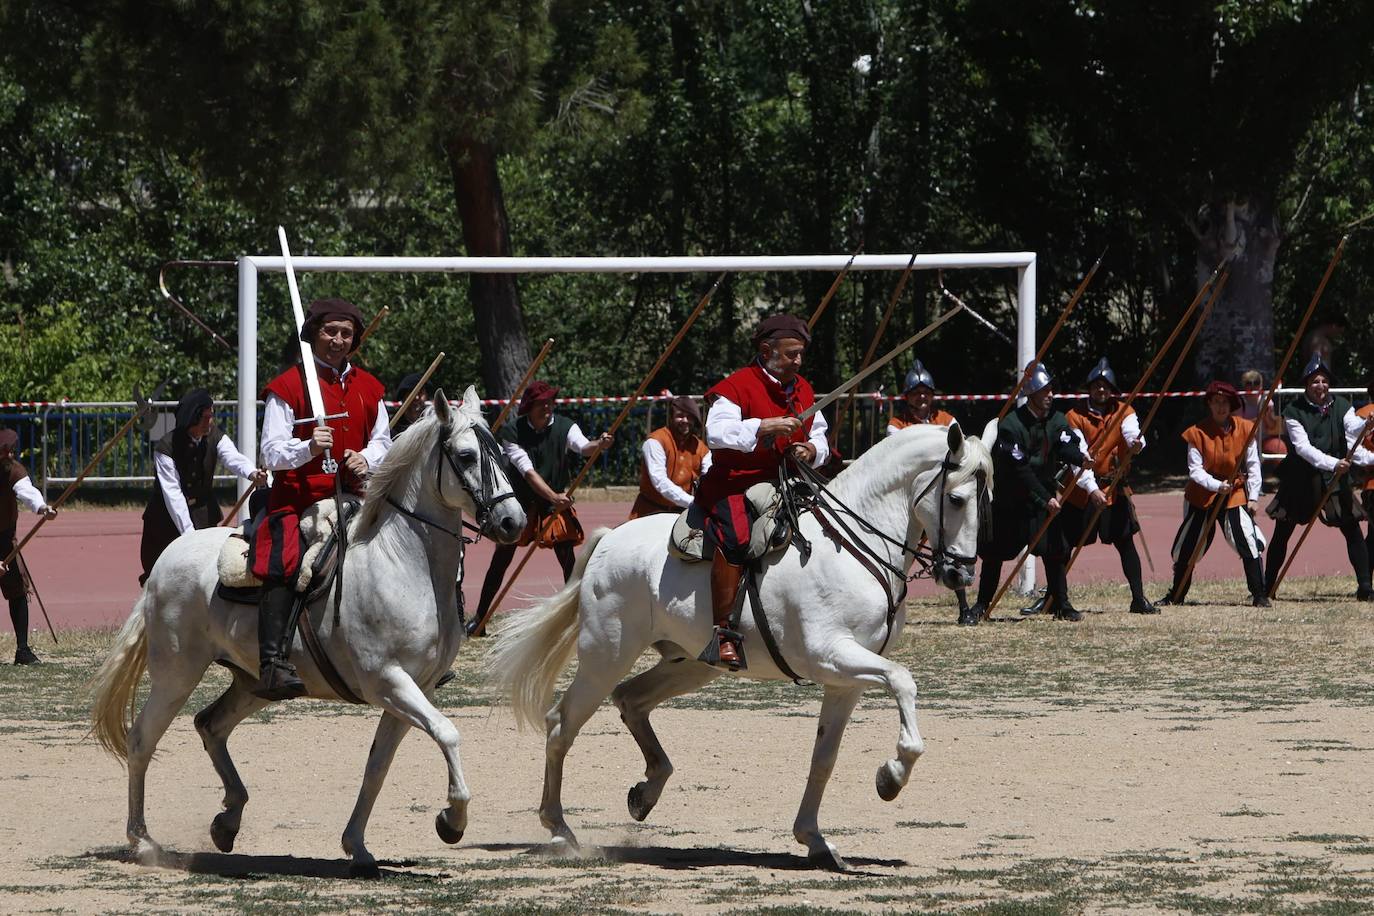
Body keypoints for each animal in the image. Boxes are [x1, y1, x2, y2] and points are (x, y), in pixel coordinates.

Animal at [88, 390, 522, 878]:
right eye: (466, 456)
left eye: (501, 453)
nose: (513, 521)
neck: (402, 563)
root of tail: (165, 559)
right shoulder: (389, 682)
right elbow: (447, 733)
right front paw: (452, 820)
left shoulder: (414, 690)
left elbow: (378, 767)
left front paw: (358, 847)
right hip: (176, 674)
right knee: (142, 739)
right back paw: (143, 842)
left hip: (254, 683)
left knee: (210, 725)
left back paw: (228, 819)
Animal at [483, 420, 989, 873]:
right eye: (956, 498)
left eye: (986, 500)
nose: (961, 574)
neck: (850, 547)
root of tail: (611, 539)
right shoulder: (832, 655)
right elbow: (903, 681)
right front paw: (892, 776)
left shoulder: (845, 681)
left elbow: (823, 758)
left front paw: (815, 839)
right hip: (605, 656)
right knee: (561, 724)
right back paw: (560, 831)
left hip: (691, 663)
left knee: (631, 699)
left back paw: (646, 792)